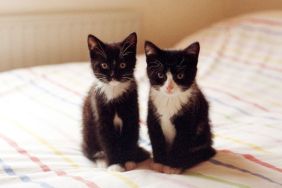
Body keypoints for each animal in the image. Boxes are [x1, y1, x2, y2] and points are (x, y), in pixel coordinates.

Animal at [82, 33, 150, 171]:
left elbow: (129, 136)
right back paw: (102, 160)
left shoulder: (132, 113)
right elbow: (108, 141)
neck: (114, 91)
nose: (113, 75)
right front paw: (115, 165)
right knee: (91, 152)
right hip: (88, 134)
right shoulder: (100, 113)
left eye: (122, 65)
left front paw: (129, 161)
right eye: (104, 65)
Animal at [144, 40, 215, 173]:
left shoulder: (188, 120)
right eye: (160, 75)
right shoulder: (152, 116)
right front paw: (159, 163)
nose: (169, 87)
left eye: (180, 75)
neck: (169, 100)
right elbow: (157, 139)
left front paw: (172, 166)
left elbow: (180, 144)